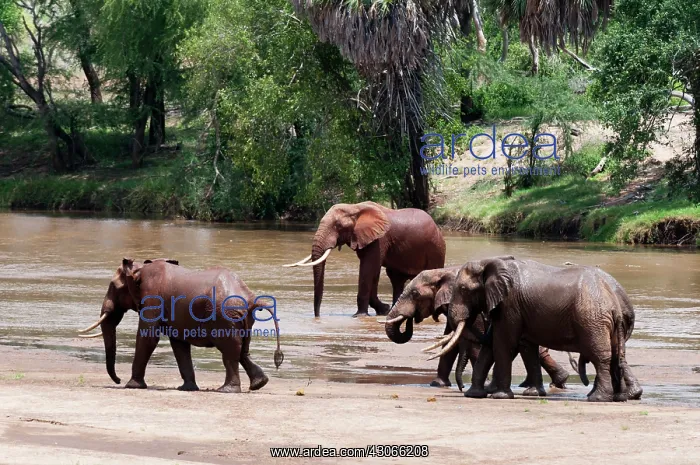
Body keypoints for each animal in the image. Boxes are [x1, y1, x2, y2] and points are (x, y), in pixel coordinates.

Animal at [78, 258, 284, 393]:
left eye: (113, 287)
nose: (118, 381)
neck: (140, 268)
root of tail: (250, 298)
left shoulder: (152, 297)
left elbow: (148, 337)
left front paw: (132, 386)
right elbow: (178, 344)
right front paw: (186, 389)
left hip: (224, 315)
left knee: (230, 351)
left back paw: (226, 390)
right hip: (240, 318)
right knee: (242, 350)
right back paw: (259, 384)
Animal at [284, 201, 445, 317]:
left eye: (338, 226)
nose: (317, 317)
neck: (354, 207)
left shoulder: (379, 240)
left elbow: (368, 268)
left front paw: (359, 316)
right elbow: (373, 272)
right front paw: (384, 310)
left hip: (436, 249)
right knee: (395, 278)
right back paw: (394, 310)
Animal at [384, 265, 569, 390]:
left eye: (415, 294)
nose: (410, 318)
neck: (442, 272)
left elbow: (472, 346)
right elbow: (450, 345)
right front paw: (438, 385)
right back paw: (550, 383)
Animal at [432, 256, 642, 402]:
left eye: (463, 289)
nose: (461, 389)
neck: (489, 262)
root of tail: (614, 302)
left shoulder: (509, 303)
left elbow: (503, 342)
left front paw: (500, 396)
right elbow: (515, 346)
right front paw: (474, 395)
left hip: (592, 319)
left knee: (601, 355)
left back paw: (598, 398)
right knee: (616, 355)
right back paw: (620, 397)